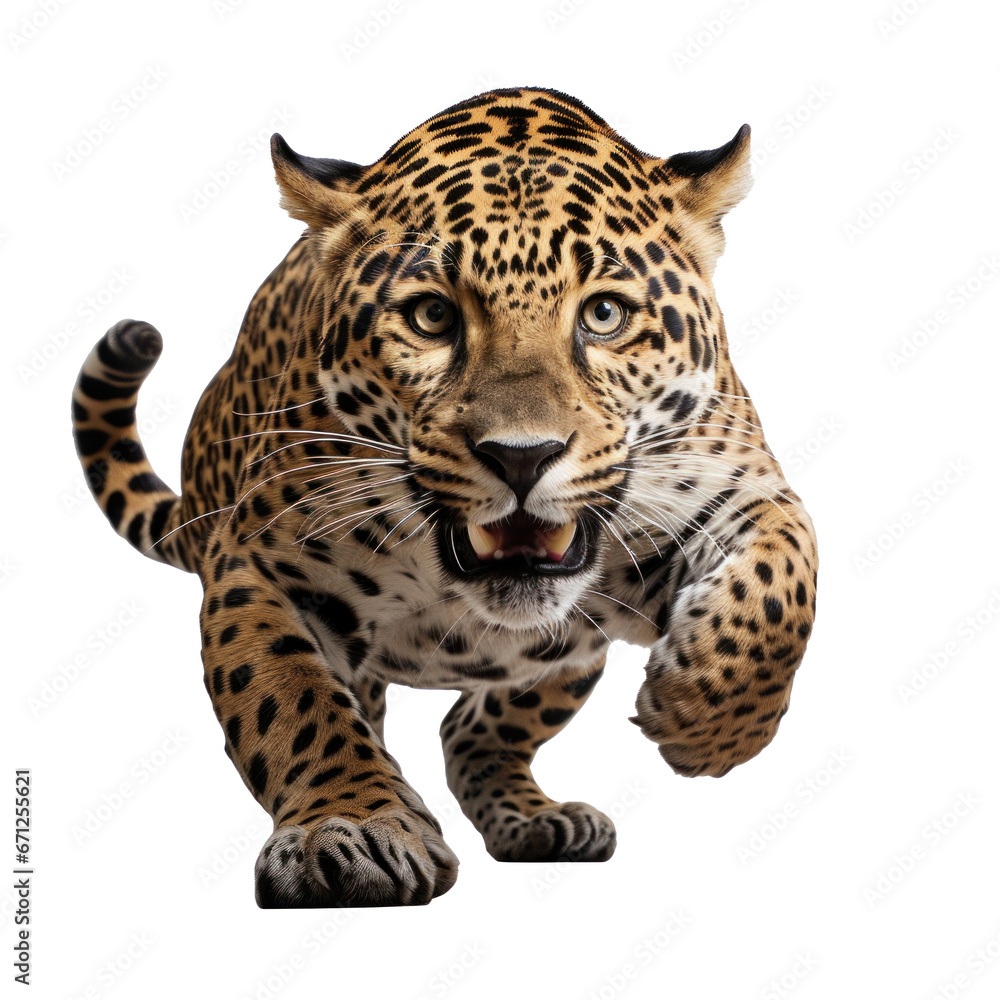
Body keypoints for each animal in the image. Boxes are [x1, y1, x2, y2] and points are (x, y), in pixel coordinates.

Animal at [72, 87, 818, 908]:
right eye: (432, 317)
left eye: (604, 315)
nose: (522, 457)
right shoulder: (258, 567)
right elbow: (293, 701)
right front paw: (351, 827)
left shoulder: (732, 483)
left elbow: (785, 578)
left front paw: (703, 720)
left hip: (570, 652)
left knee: (472, 729)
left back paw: (539, 819)